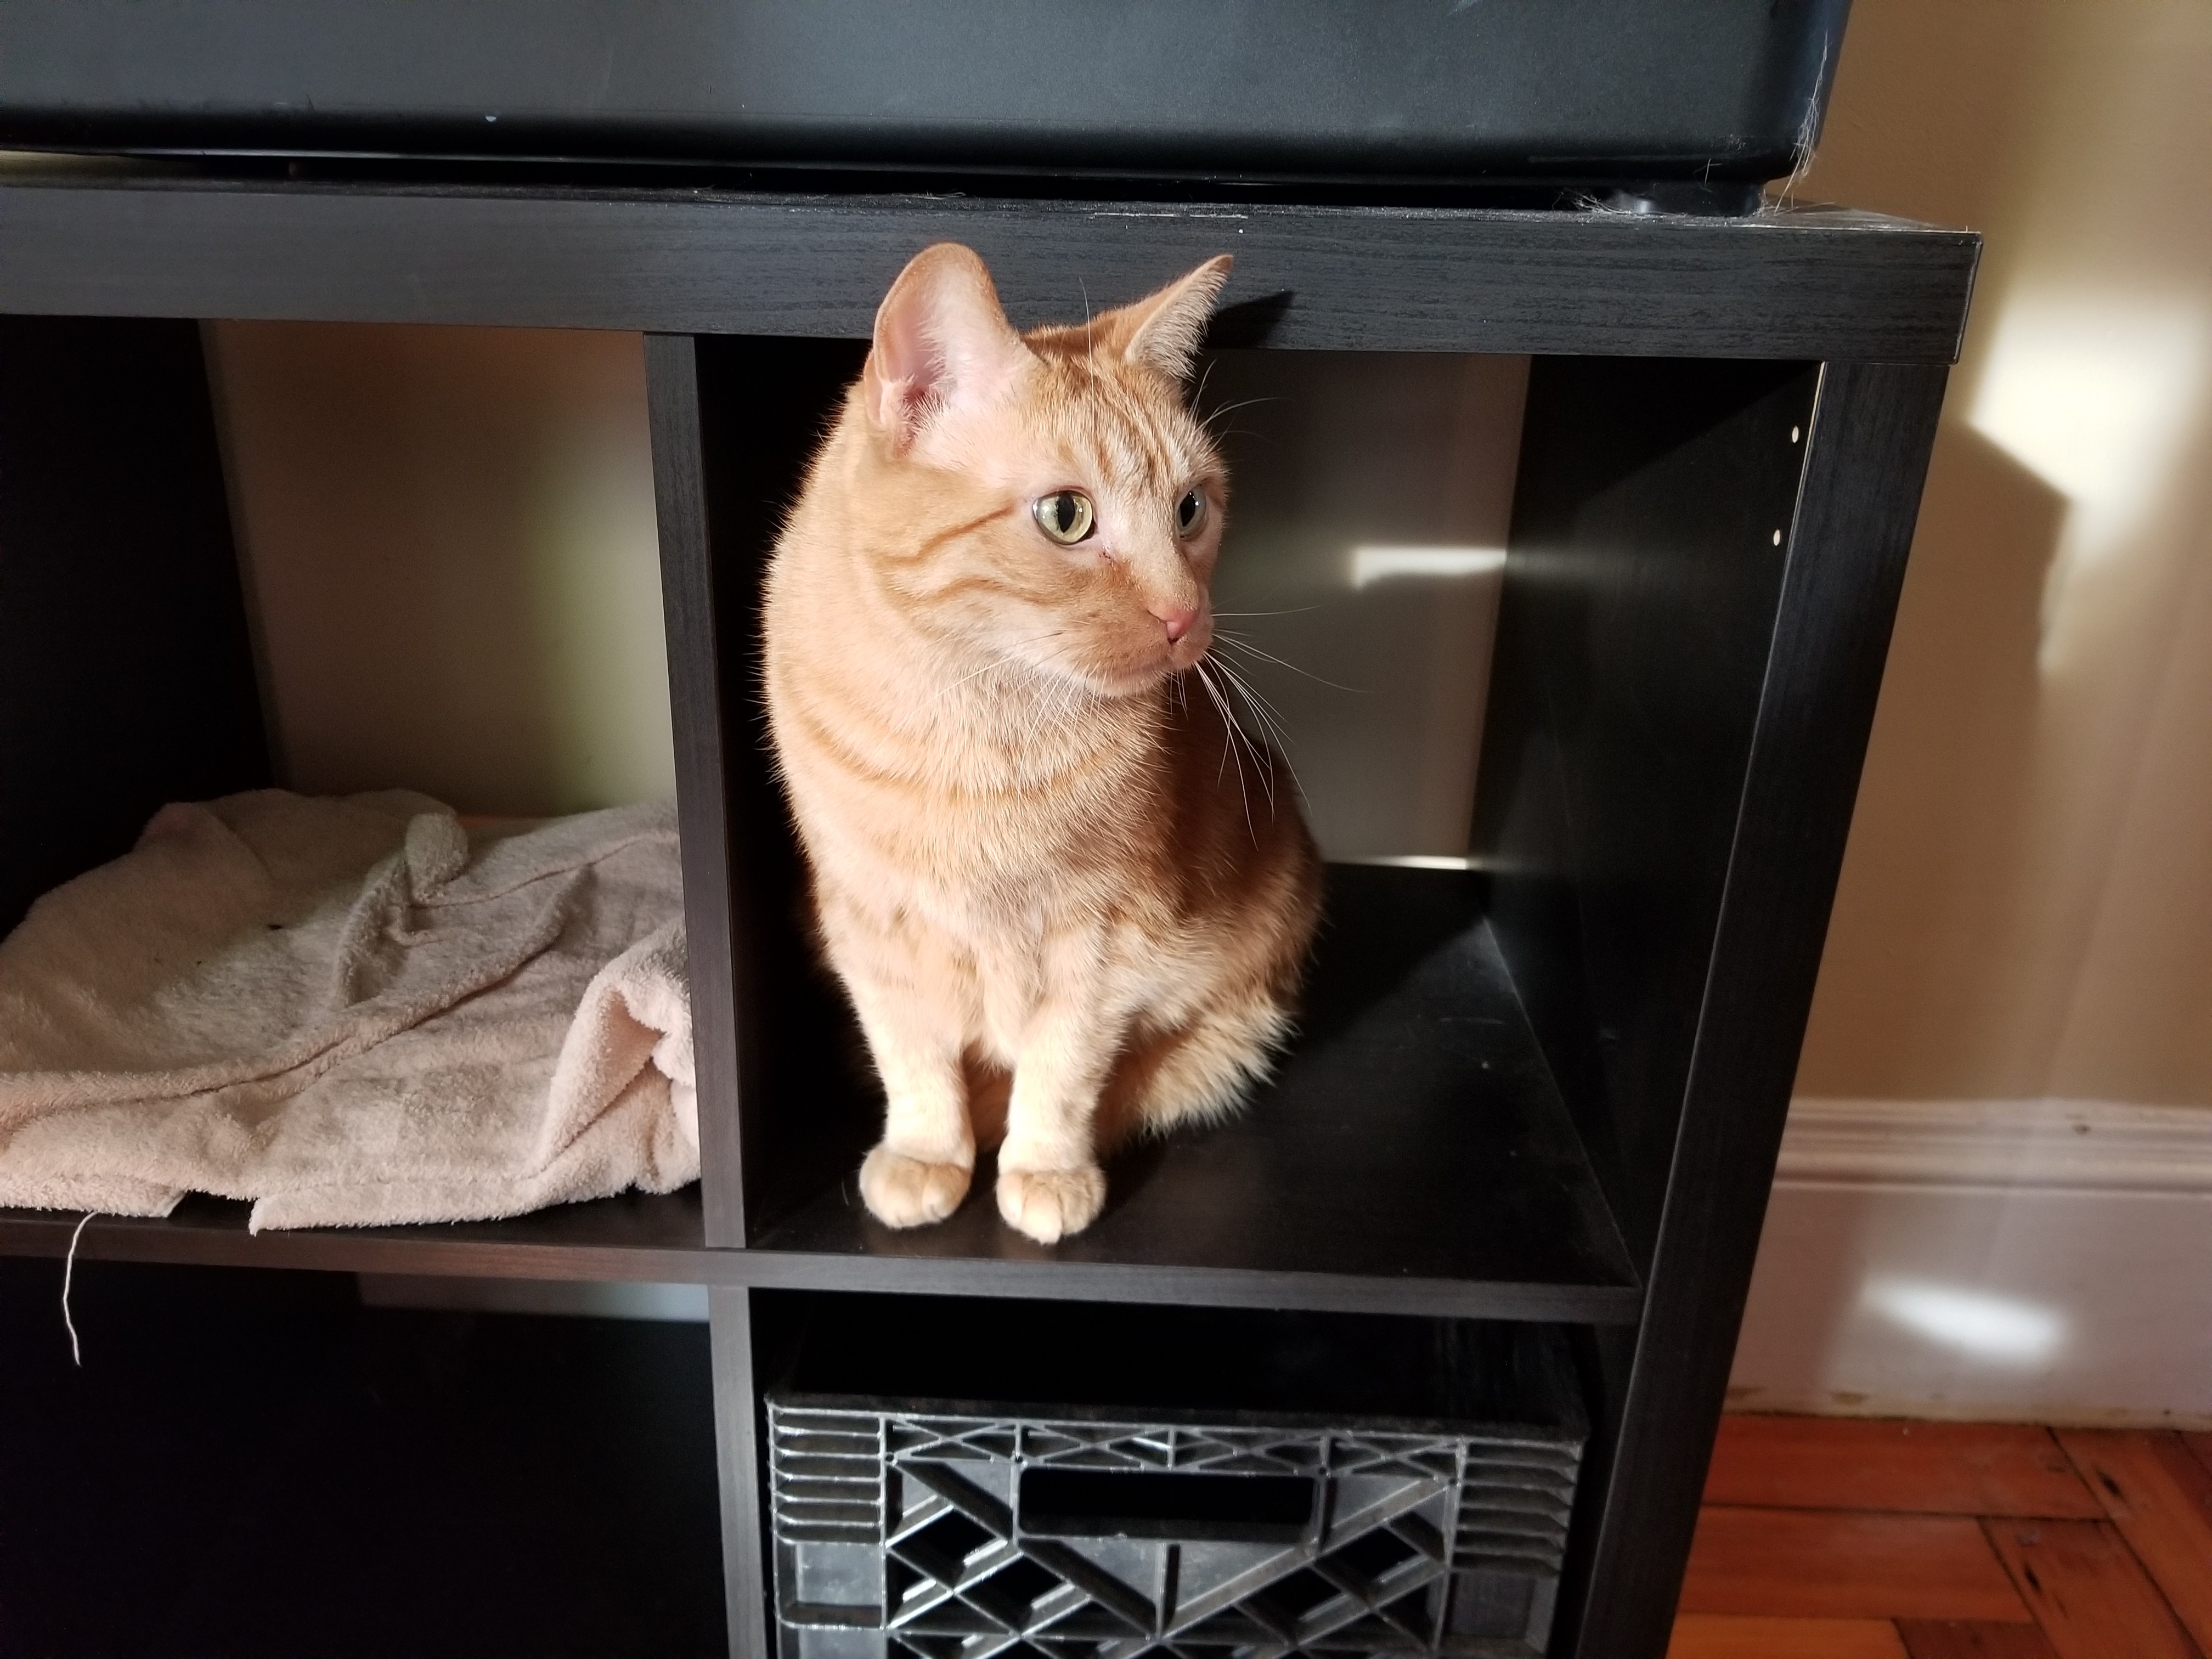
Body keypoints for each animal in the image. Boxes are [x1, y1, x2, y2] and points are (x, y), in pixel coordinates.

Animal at [765, 240, 1309, 1238]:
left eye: (1189, 510)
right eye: (1068, 516)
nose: (1186, 616)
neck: (978, 726)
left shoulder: (1102, 940)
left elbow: (1062, 1069)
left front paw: (1046, 1168)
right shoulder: (867, 921)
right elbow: (911, 1057)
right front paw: (926, 1152)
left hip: (1232, 1019)